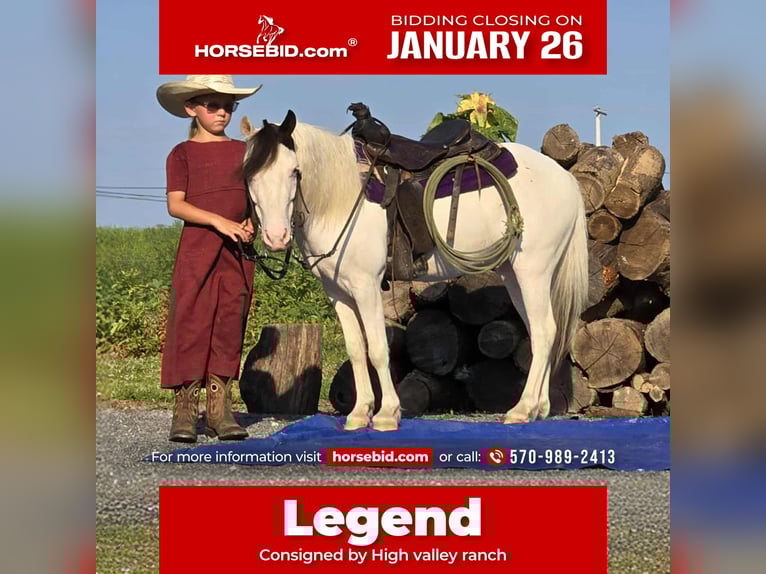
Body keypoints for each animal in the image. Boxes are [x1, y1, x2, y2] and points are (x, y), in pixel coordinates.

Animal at [240, 109, 589, 432]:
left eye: (294, 171)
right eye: (249, 174)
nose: (275, 236)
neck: (341, 199)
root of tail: (566, 179)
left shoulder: (366, 286)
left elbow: (377, 349)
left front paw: (386, 414)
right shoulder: (338, 293)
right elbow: (356, 350)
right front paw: (359, 414)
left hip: (534, 271)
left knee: (544, 331)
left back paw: (522, 409)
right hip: (514, 275)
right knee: (537, 332)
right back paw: (538, 408)